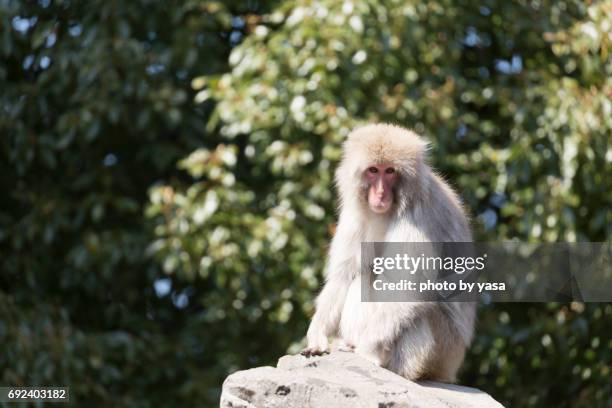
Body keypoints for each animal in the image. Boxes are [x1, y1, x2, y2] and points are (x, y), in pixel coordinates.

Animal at [298, 123, 476, 382]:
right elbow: (343, 277)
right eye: (373, 170)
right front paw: (317, 334)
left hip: (446, 350)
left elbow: (408, 289)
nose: (380, 193)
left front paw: (365, 349)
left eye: (390, 171)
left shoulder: (418, 217)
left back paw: (383, 360)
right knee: (362, 275)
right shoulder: (354, 213)